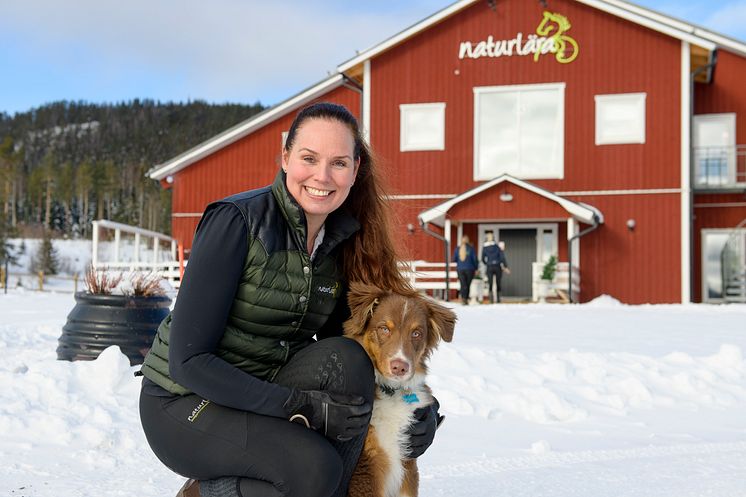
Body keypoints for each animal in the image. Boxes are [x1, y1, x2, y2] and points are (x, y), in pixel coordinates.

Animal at [342, 282, 454, 496]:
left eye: (416, 333)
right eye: (384, 328)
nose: (400, 367)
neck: (391, 392)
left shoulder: (408, 466)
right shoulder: (366, 469)